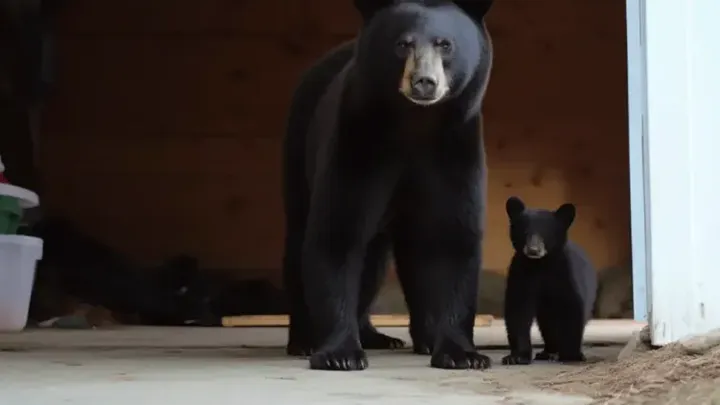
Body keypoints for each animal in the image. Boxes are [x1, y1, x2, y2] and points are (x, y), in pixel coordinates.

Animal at [281, 0, 495, 371]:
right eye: (402, 44)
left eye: (445, 44)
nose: (424, 82)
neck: (415, 124)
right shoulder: (359, 140)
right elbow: (336, 233)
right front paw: (340, 353)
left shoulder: (456, 149)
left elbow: (455, 237)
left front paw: (462, 354)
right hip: (299, 141)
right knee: (300, 235)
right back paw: (305, 340)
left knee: (391, 259)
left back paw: (403, 336)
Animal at [500, 196, 598, 365]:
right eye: (525, 232)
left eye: (545, 233)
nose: (533, 250)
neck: (541, 265)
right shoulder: (521, 273)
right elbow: (517, 311)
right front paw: (516, 356)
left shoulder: (565, 274)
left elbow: (573, 308)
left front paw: (572, 355)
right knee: (547, 325)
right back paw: (548, 352)